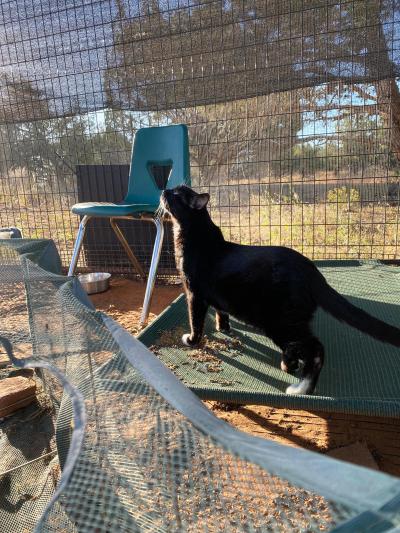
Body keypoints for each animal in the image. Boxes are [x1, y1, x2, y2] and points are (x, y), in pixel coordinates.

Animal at [160, 185, 400, 392]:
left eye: (176, 194)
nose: (164, 190)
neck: (194, 234)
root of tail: (312, 272)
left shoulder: (194, 293)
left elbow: (196, 321)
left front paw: (192, 340)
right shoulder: (217, 296)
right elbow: (221, 311)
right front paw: (223, 327)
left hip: (280, 322)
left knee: (315, 349)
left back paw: (302, 386)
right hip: (291, 321)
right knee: (299, 346)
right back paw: (289, 364)